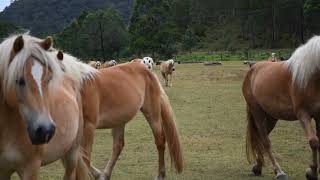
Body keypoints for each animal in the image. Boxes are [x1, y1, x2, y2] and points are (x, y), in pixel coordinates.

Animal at [0, 34, 94, 179]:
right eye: (19, 80)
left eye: (49, 78)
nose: (45, 130)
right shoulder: (3, 170)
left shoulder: (31, 169)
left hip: (72, 152)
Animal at [244, 35, 320, 180]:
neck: (310, 77)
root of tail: (253, 68)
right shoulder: (303, 114)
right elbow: (314, 141)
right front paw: (312, 173)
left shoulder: (319, 116)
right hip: (257, 112)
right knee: (265, 141)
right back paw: (279, 172)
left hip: (272, 117)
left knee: (261, 138)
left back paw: (258, 167)